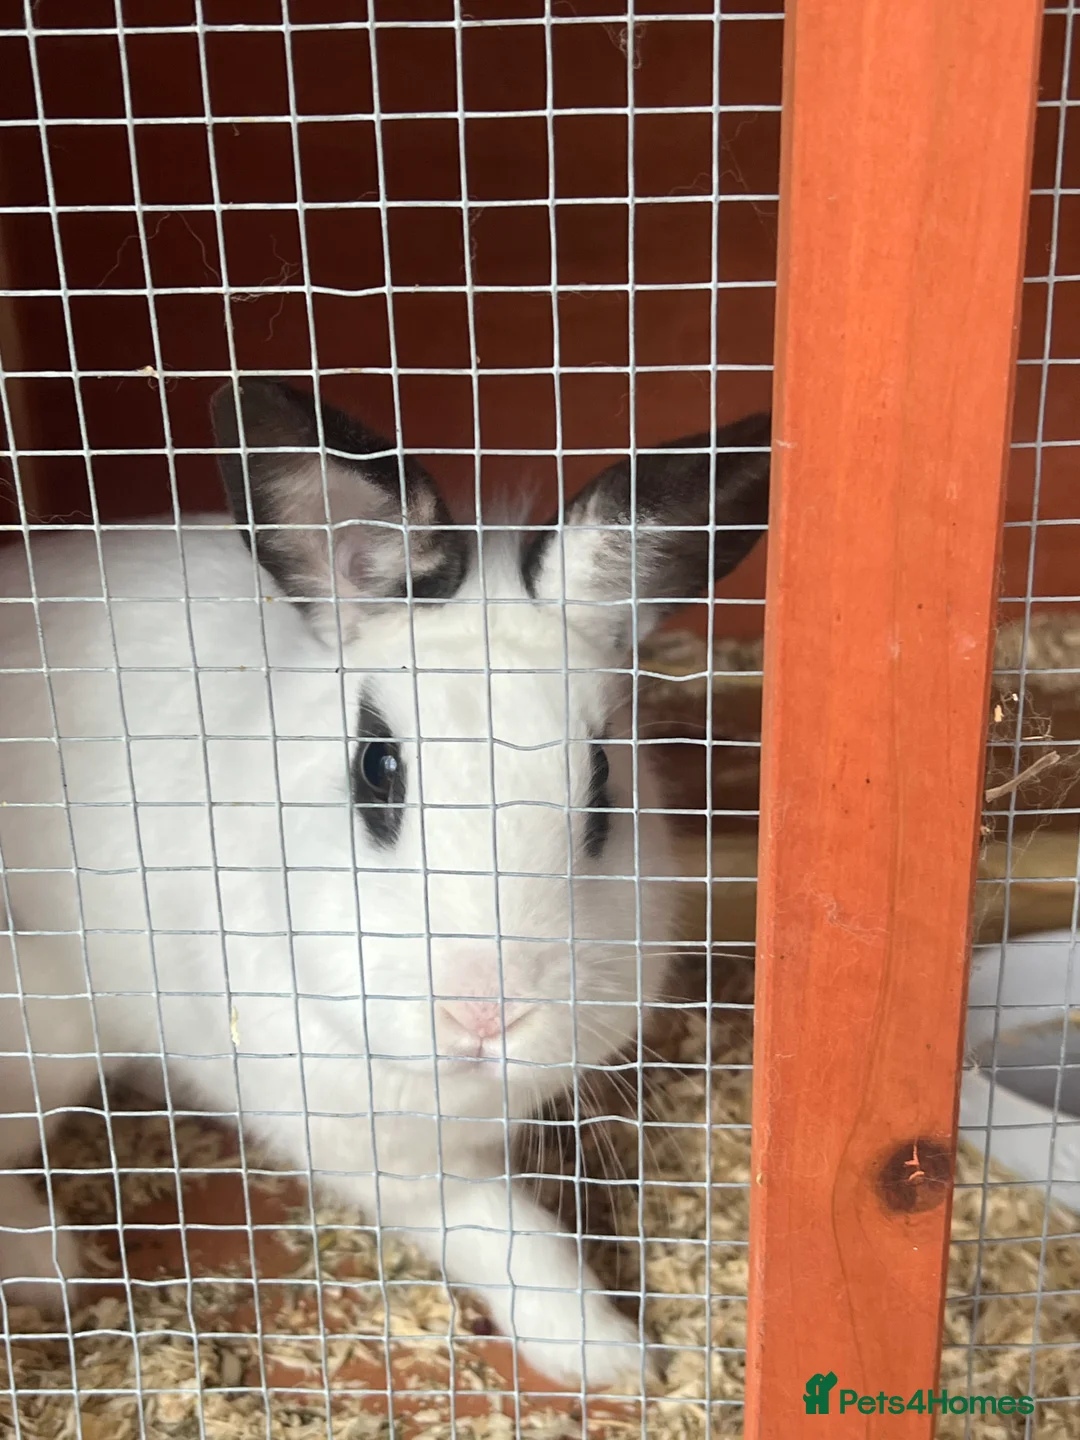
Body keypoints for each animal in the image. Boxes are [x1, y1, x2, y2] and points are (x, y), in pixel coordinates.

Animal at [0, 378, 770, 1387]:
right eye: (377, 770)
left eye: (605, 788)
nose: (486, 1011)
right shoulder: (382, 1154)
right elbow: (508, 1231)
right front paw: (611, 1356)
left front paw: (621, 1362)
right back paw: (51, 1264)